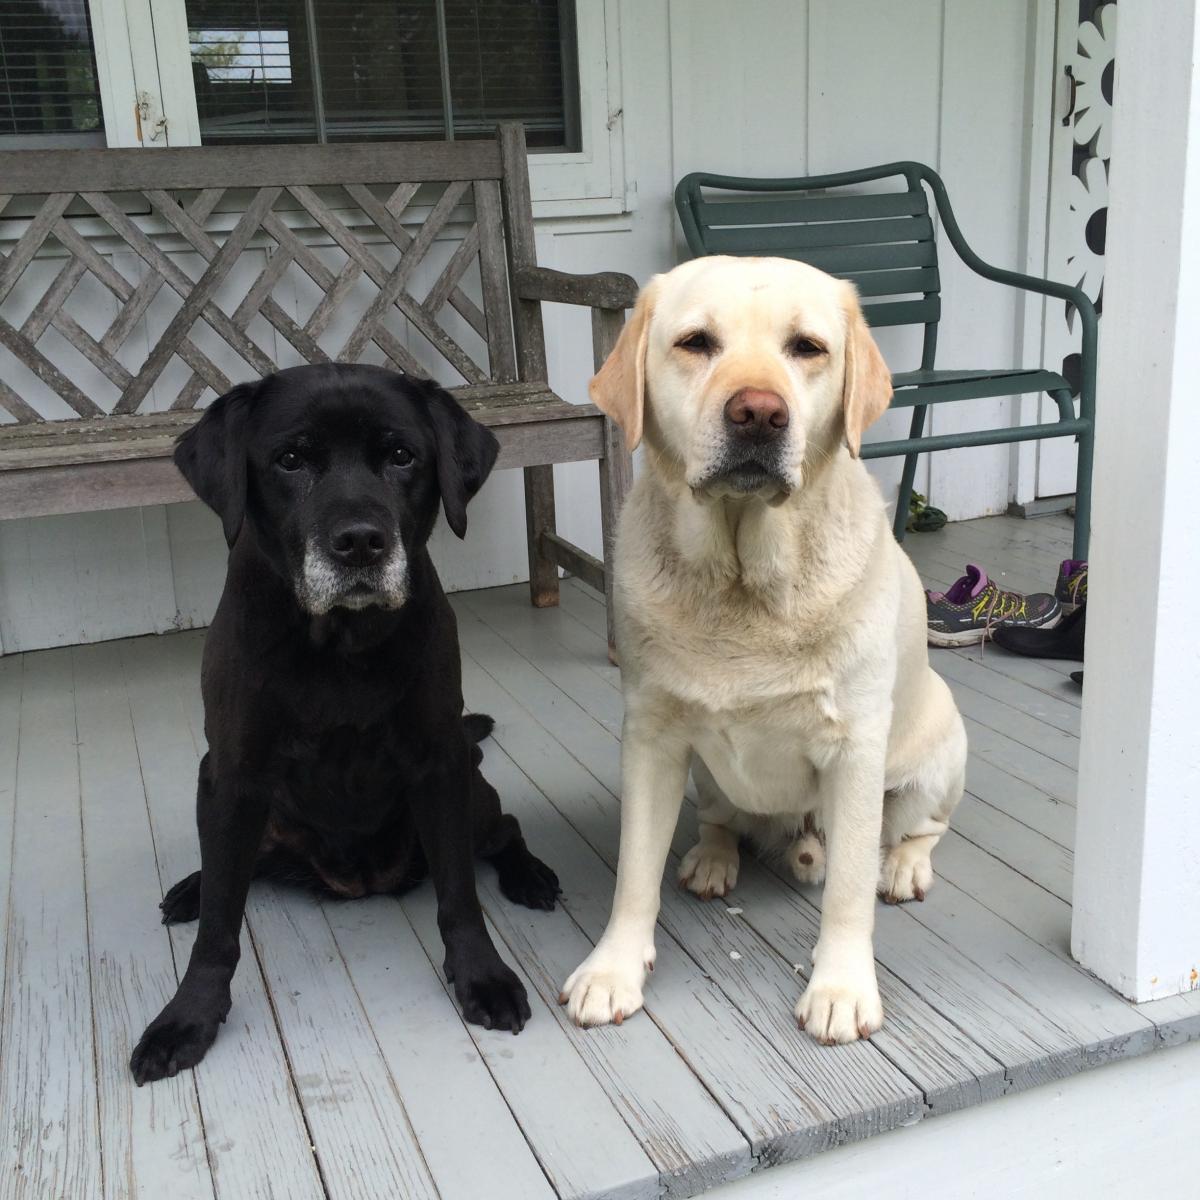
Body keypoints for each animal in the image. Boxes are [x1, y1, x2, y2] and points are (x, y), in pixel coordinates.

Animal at [129, 360, 559, 1084]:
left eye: (401, 455)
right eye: (291, 459)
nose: (360, 542)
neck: (339, 644)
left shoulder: (439, 762)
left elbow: (459, 896)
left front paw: (482, 977)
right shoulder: (233, 775)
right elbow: (220, 924)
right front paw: (187, 1016)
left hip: (471, 795)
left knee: (504, 830)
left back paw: (531, 874)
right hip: (257, 811)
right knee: (241, 869)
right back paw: (191, 888)